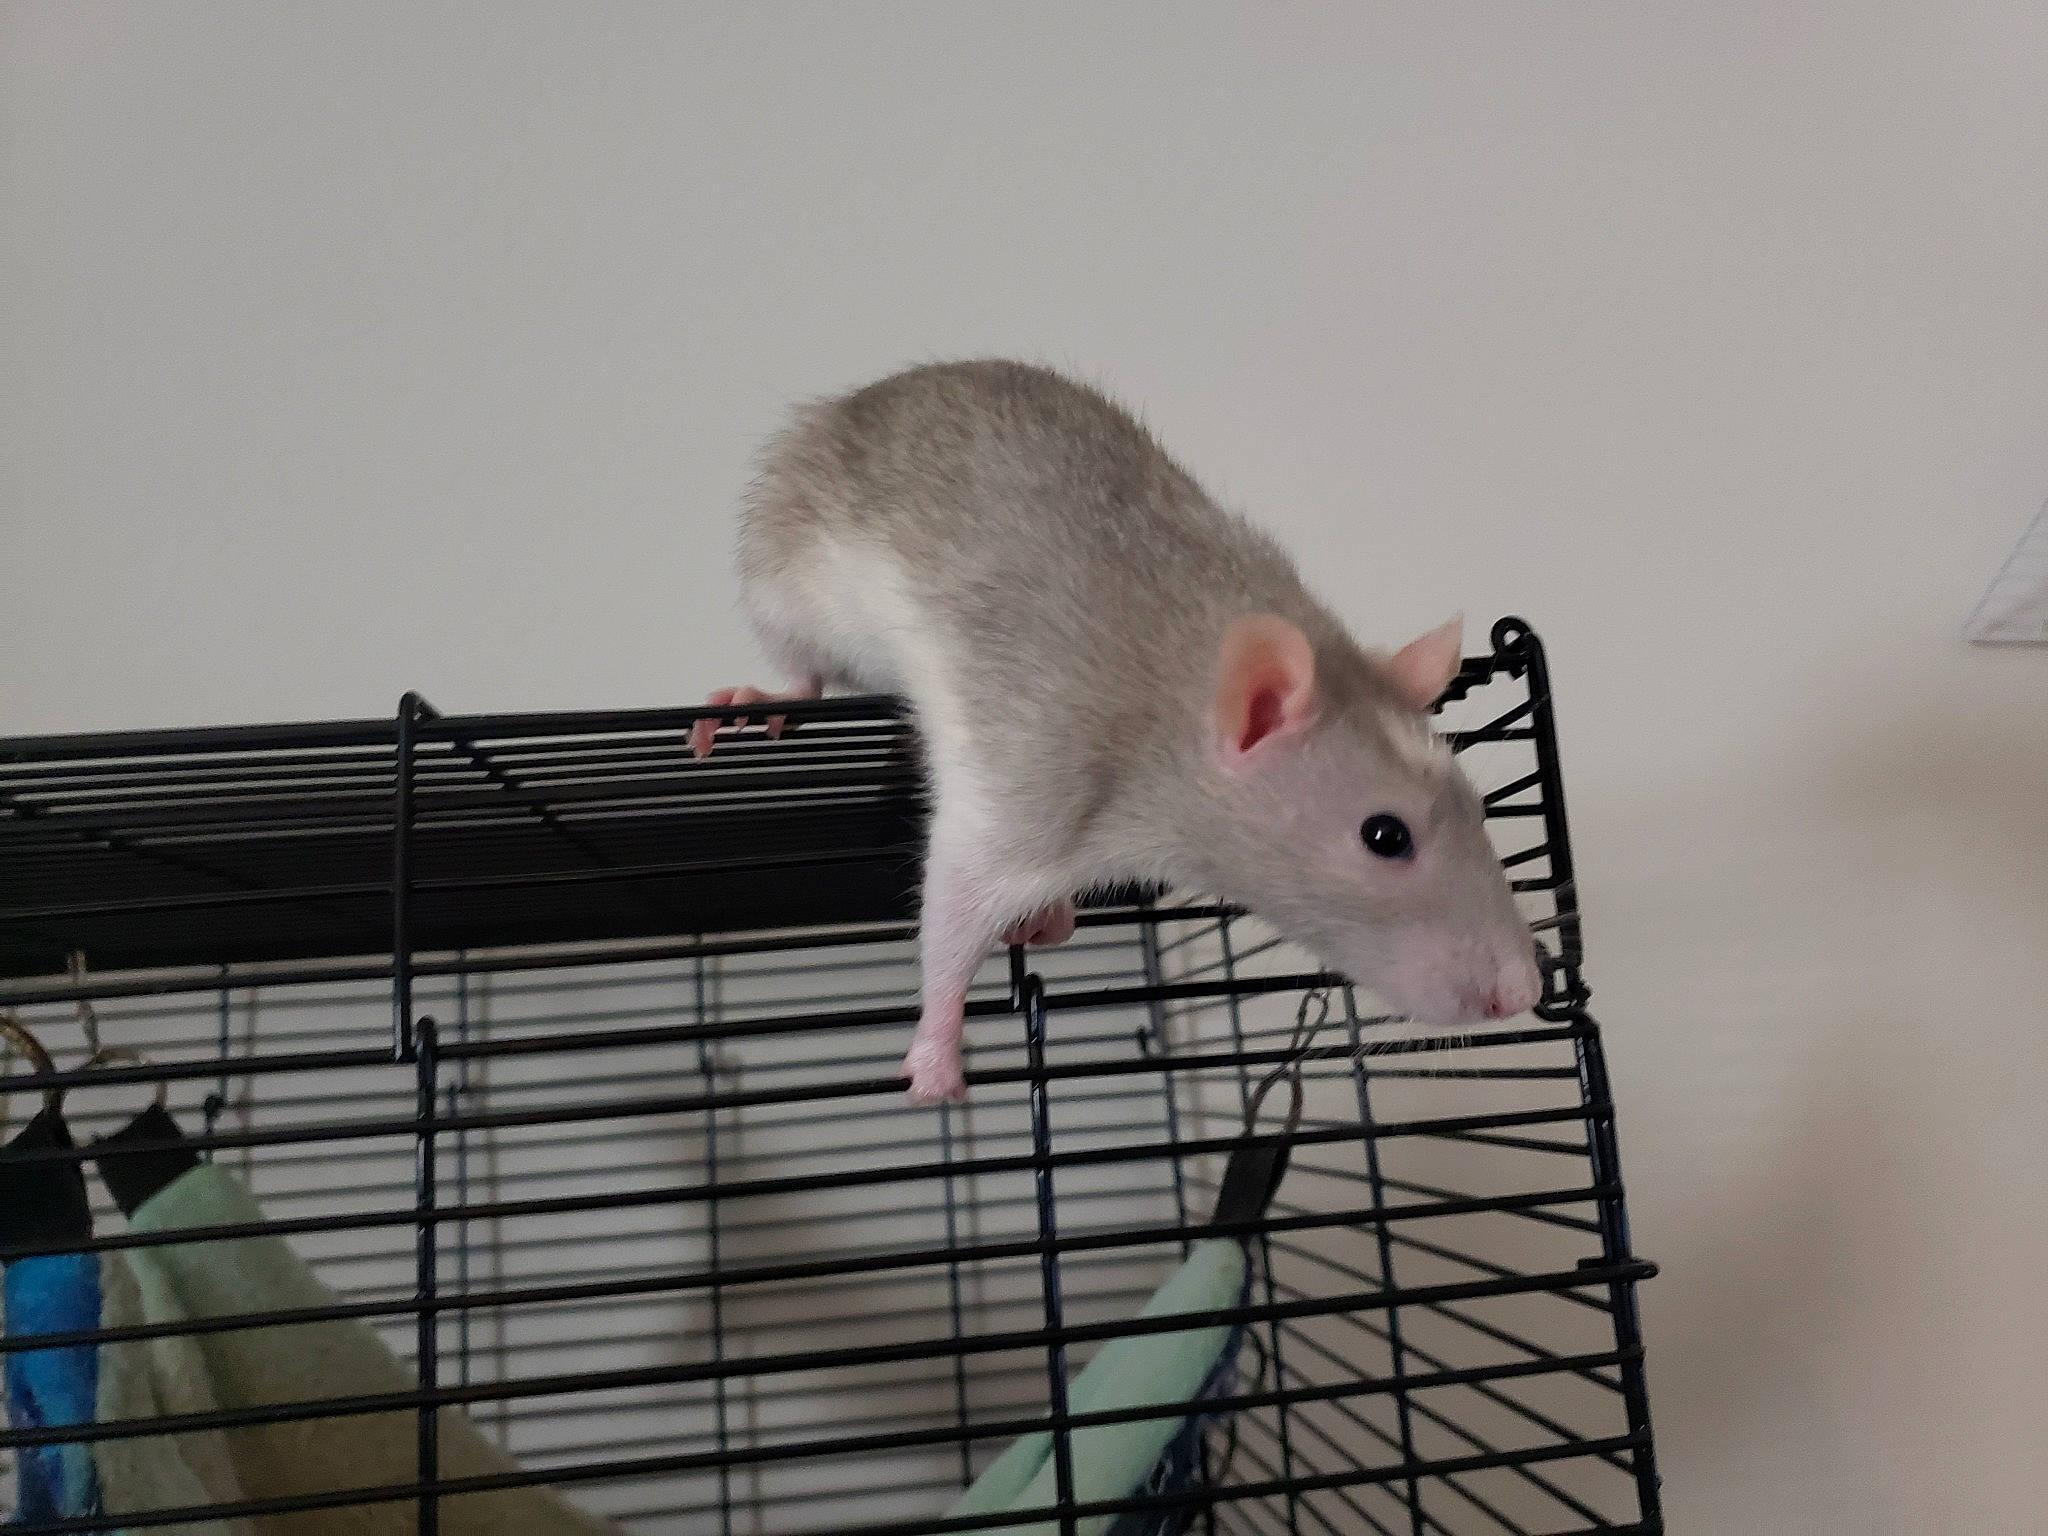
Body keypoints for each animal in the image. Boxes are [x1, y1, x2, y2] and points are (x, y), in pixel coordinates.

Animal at [693, 360, 1542, 1104]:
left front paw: (1042, 917)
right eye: (1385, 837)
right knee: (802, 664)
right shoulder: (1041, 761)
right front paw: (936, 1048)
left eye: (1477, 810)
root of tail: (861, 396)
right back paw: (766, 695)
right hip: (781, 566)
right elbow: (960, 890)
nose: (1523, 989)